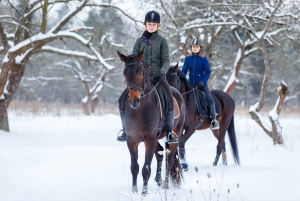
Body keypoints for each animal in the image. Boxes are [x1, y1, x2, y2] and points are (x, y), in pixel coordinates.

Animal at [116, 49, 185, 196]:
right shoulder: (131, 140)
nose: (134, 100)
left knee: (169, 159)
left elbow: (146, 168)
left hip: (174, 135)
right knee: (160, 154)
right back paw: (159, 181)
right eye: (125, 72)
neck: (140, 110)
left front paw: (144, 192)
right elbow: (134, 167)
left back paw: (165, 185)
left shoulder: (149, 139)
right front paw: (134, 191)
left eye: (140, 72)